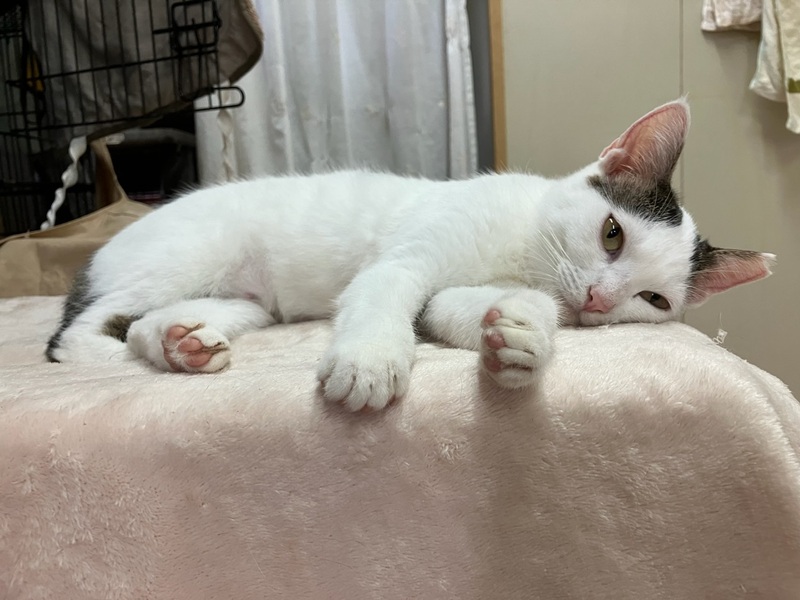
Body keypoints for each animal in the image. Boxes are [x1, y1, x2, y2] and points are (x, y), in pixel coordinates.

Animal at [46, 99, 774, 411]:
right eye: (613, 234)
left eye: (652, 299)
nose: (597, 299)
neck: (524, 252)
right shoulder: (408, 259)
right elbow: (387, 293)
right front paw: (369, 362)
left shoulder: (459, 293)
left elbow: (459, 308)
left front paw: (521, 340)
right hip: (185, 256)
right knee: (72, 336)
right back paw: (115, 358)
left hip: (243, 301)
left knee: (148, 322)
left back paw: (181, 344)